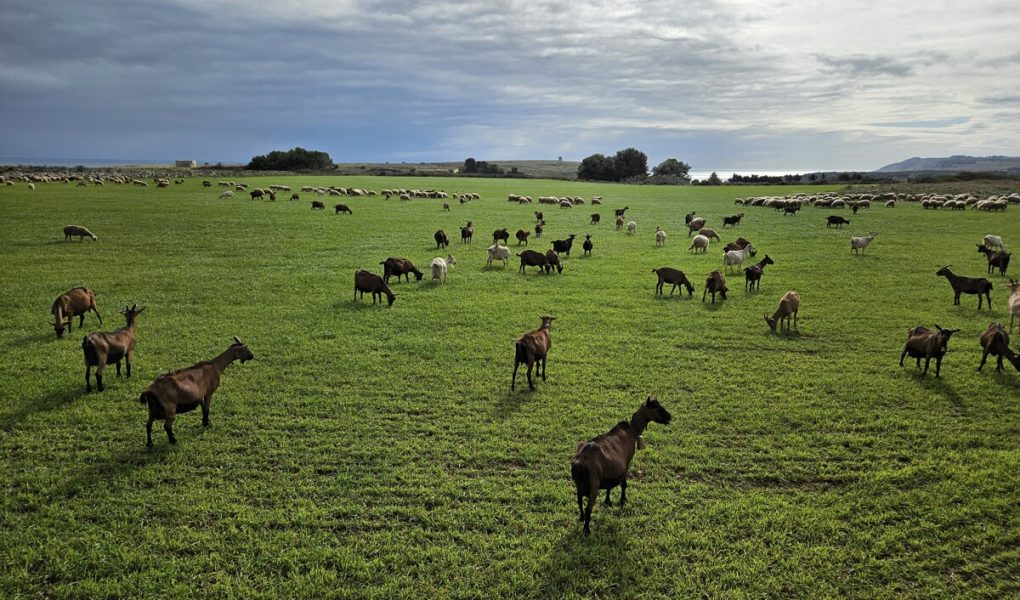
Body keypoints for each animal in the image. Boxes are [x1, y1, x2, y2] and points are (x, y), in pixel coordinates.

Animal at [571, 397, 673, 534]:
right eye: (655, 406)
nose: (669, 417)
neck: (632, 430)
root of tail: (581, 461)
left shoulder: (611, 471)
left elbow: (609, 486)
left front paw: (608, 501)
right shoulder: (627, 462)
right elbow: (624, 484)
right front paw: (623, 501)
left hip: (579, 484)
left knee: (579, 501)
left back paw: (581, 518)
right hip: (594, 483)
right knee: (588, 507)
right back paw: (587, 530)